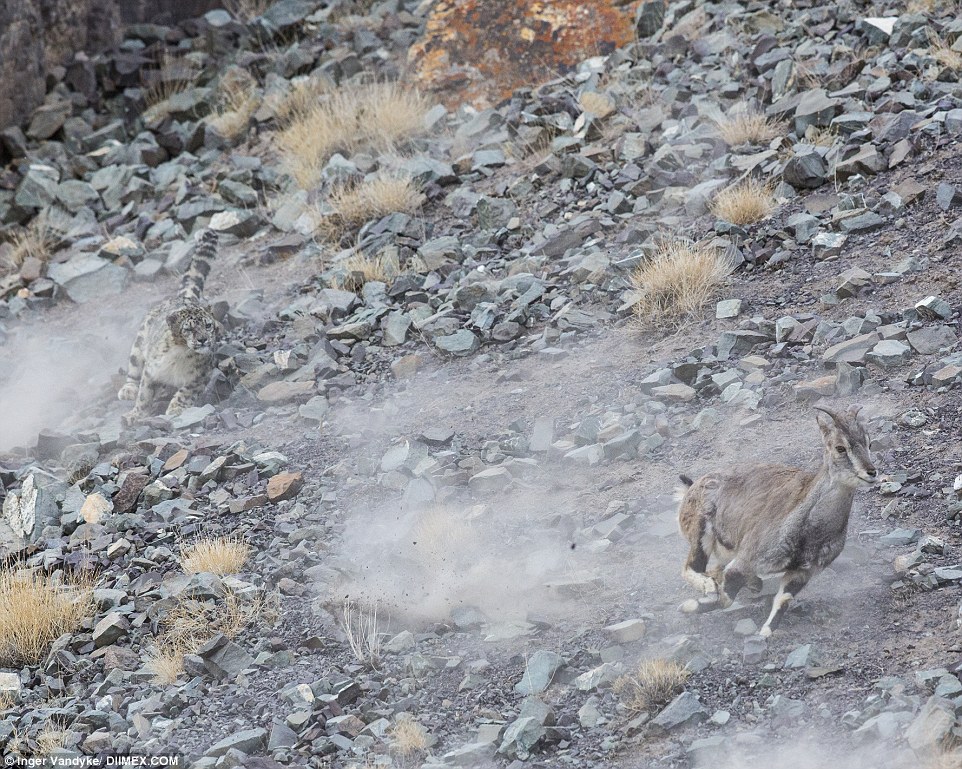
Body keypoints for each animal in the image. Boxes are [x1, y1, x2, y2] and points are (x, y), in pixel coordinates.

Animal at [119, 231, 220, 426]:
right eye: (189, 329)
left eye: (208, 325)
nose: (203, 339)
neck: (182, 355)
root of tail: (183, 298)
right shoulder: (151, 370)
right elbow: (144, 395)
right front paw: (134, 415)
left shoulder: (201, 375)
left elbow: (186, 392)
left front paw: (176, 408)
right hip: (139, 344)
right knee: (133, 368)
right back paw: (128, 389)